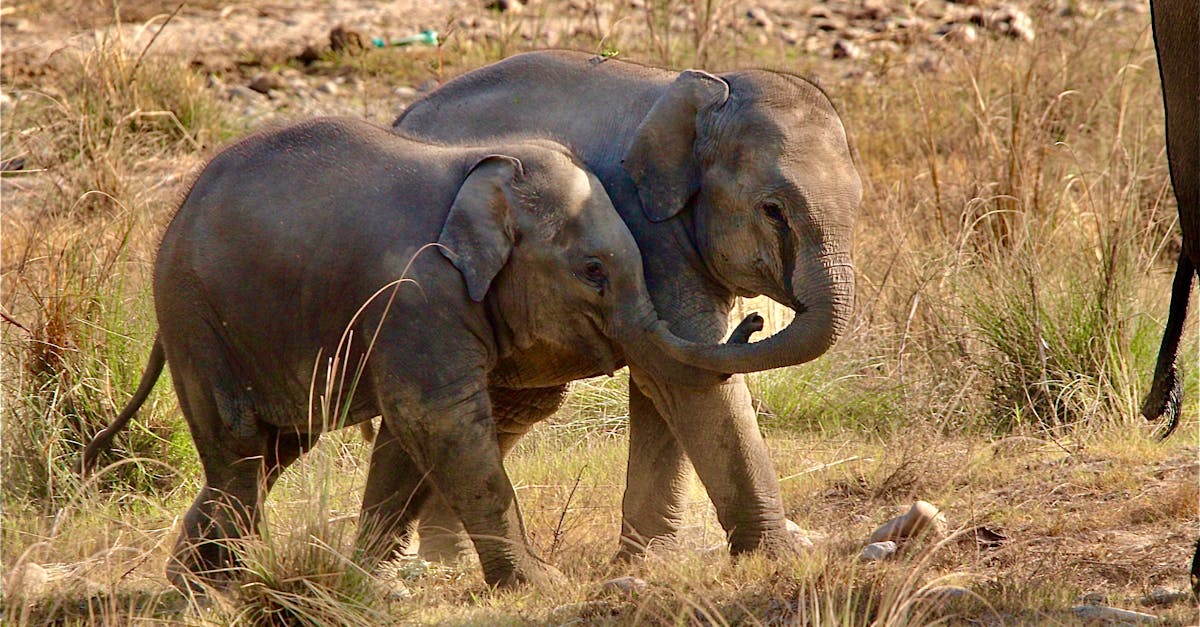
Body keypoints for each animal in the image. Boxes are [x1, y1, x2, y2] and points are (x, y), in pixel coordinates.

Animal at [78, 117, 772, 590]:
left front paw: (365, 579)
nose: (756, 317)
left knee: (271, 451)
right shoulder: (415, 298)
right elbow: (437, 419)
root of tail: (171, 223)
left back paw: (193, 582)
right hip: (199, 322)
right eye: (594, 272)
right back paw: (228, 585)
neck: (485, 187)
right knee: (243, 452)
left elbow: (409, 436)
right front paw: (540, 586)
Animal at [392, 50, 861, 561]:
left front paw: (652, 559)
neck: (699, 95)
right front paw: (780, 555)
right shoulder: (645, 233)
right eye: (773, 211)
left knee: (518, 403)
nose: (754, 321)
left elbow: (668, 385)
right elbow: (684, 378)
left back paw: (448, 560)